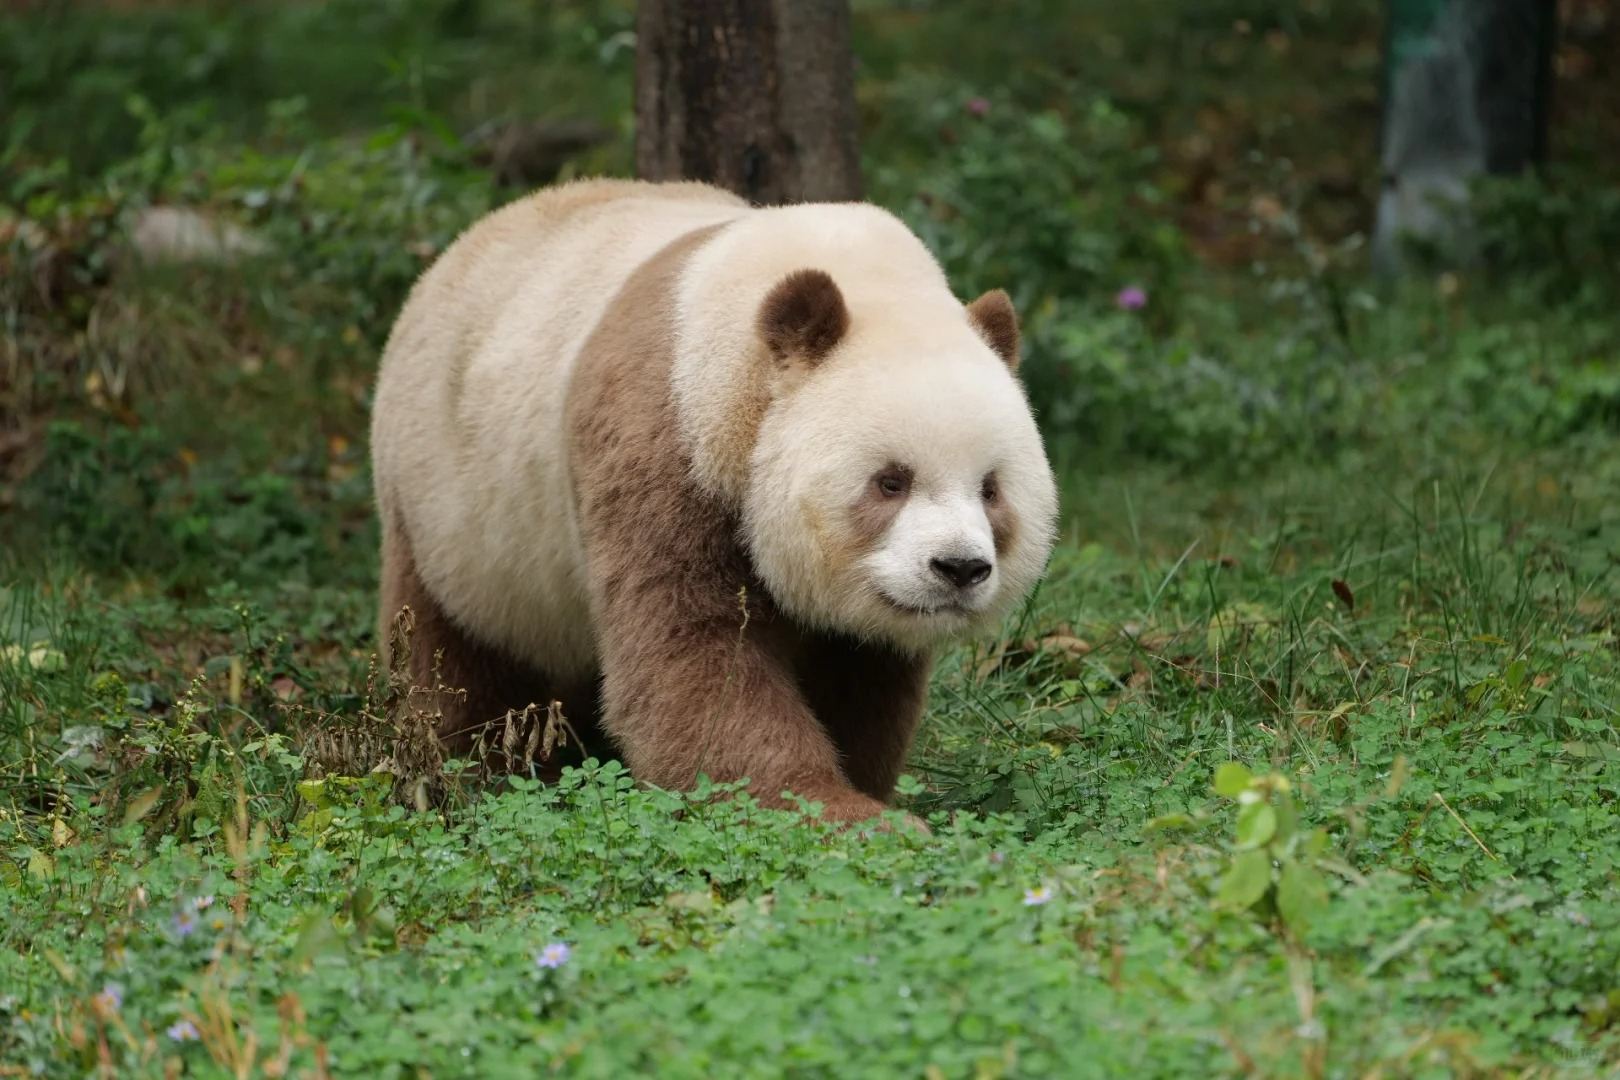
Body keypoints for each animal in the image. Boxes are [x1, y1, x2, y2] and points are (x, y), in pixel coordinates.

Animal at [371, 178, 1058, 824]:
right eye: (891, 481)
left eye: (991, 489)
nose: (959, 569)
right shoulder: (665, 441)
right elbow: (697, 655)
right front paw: (843, 814)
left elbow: (861, 678)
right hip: (452, 510)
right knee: (456, 662)